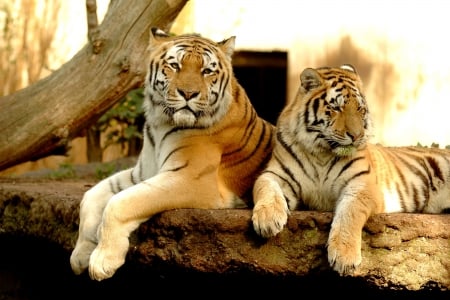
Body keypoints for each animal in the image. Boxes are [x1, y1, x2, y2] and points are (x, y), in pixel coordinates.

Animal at [70, 28, 274, 282]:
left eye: (207, 71)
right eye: (175, 66)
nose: (188, 93)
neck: (160, 123)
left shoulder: (188, 178)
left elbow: (121, 202)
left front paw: (103, 259)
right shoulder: (141, 173)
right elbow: (91, 196)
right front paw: (80, 255)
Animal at [251, 64, 450, 276]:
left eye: (360, 109)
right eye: (336, 108)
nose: (357, 136)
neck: (322, 152)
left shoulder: (362, 183)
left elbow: (349, 212)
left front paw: (344, 257)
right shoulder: (275, 174)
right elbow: (266, 189)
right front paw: (267, 219)